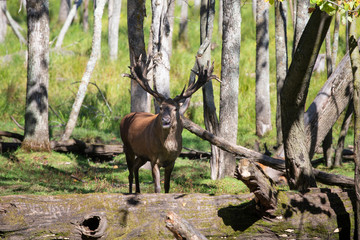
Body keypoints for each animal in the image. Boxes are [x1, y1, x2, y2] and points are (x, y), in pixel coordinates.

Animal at [121, 56, 219, 193]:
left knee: (135, 167)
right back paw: (131, 192)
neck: (167, 149)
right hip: (127, 147)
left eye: (175, 108)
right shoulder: (154, 158)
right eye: (161, 108)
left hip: (142, 155)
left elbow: (167, 186)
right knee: (129, 172)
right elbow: (157, 187)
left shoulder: (172, 161)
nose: (166, 120)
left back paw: (138, 191)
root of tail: (125, 117)